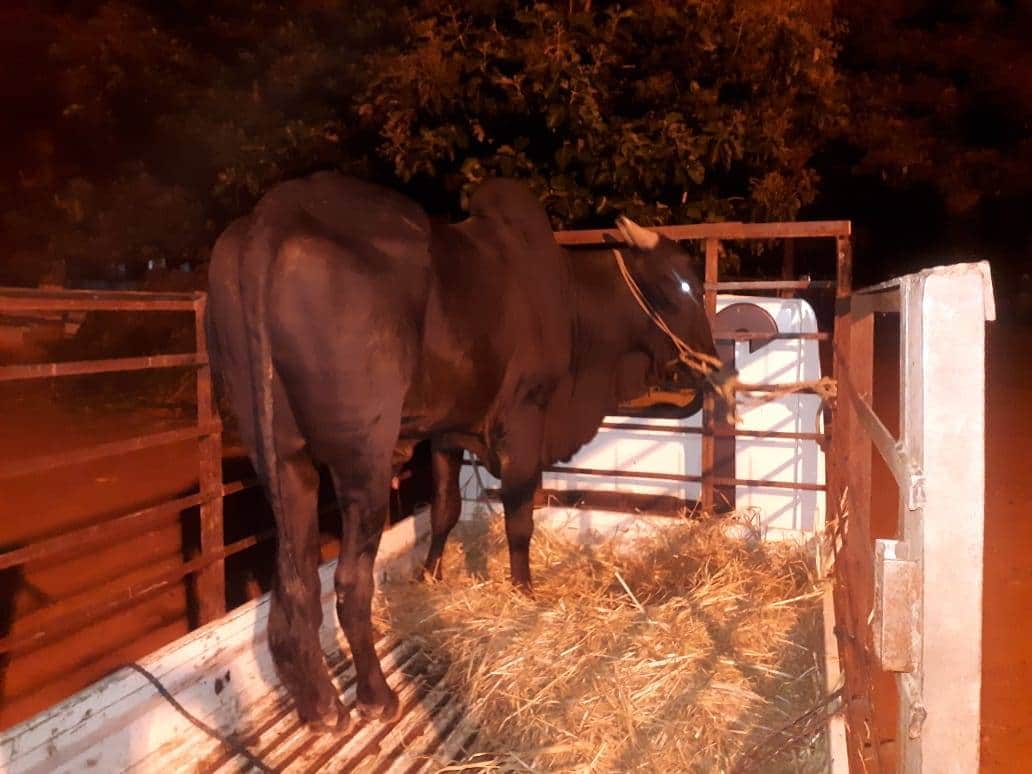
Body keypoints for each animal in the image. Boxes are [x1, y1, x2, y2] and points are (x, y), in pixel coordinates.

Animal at [206, 172, 720, 731]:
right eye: (681, 285)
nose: (712, 360)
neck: (574, 305)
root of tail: (270, 218)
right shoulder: (526, 418)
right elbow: (519, 519)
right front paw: (523, 591)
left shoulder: (447, 433)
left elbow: (446, 511)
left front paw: (430, 575)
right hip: (363, 457)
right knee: (348, 582)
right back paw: (376, 696)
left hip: (283, 458)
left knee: (295, 583)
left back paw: (320, 705)